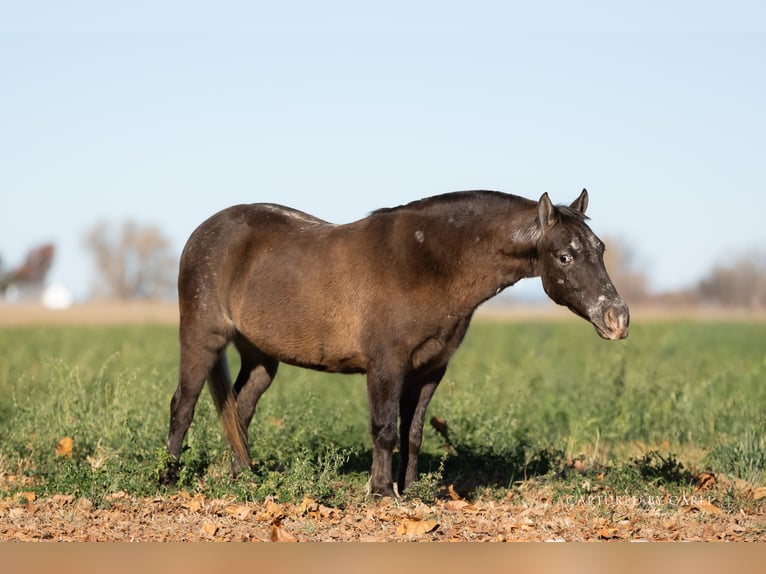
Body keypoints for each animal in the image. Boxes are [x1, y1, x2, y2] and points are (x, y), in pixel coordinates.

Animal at [163, 189, 629, 497]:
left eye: (600, 249)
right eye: (565, 256)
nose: (617, 319)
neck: (429, 262)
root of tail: (202, 234)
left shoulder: (429, 369)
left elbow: (414, 432)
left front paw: (412, 489)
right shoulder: (386, 366)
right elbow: (385, 428)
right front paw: (382, 491)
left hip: (262, 358)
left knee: (239, 410)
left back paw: (245, 477)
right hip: (202, 339)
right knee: (183, 405)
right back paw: (169, 478)